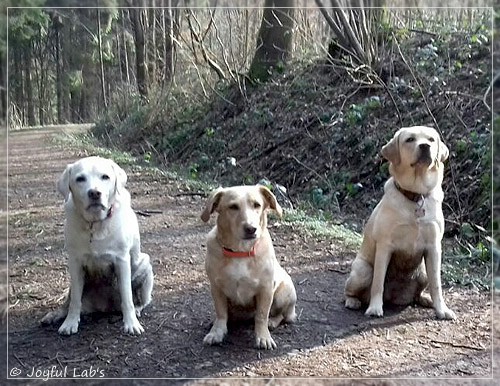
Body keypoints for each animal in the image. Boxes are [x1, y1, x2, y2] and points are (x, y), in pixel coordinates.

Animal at [41, 155, 152, 334]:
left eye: (105, 177)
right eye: (80, 179)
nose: (94, 193)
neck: (95, 224)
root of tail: (104, 307)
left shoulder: (122, 261)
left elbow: (127, 297)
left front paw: (131, 324)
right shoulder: (75, 263)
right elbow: (75, 301)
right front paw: (70, 323)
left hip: (145, 266)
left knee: (140, 301)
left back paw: (136, 310)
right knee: (69, 301)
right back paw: (55, 315)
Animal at [200, 185, 296, 350]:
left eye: (257, 205)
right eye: (233, 207)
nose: (251, 228)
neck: (240, 252)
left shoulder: (265, 289)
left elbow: (262, 315)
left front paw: (263, 337)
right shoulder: (216, 288)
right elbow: (221, 313)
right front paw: (217, 331)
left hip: (284, 293)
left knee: (282, 315)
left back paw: (272, 322)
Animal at [344, 126, 458, 320]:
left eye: (431, 139)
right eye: (410, 139)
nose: (425, 146)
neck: (416, 195)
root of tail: (395, 297)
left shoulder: (434, 247)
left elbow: (437, 285)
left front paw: (442, 310)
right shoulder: (385, 246)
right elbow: (378, 282)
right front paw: (375, 308)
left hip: (423, 271)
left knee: (419, 291)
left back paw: (425, 299)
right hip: (362, 270)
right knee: (352, 290)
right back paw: (353, 301)